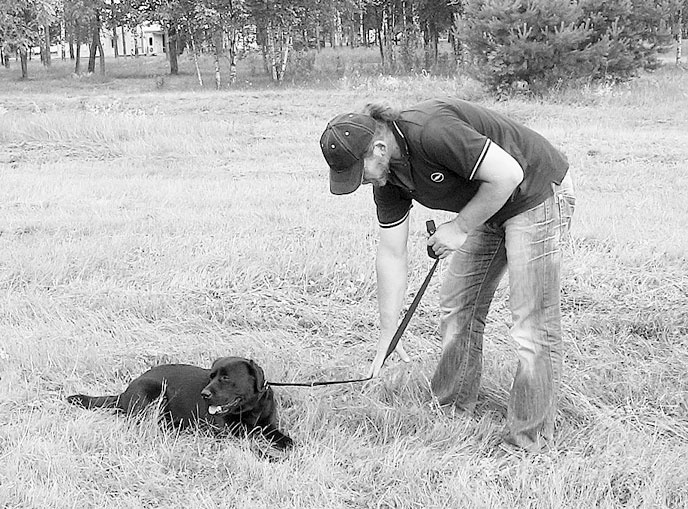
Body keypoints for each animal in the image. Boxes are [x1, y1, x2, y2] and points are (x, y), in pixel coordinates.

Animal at [65, 358, 290, 448]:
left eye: (226, 378)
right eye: (211, 376)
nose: (204, 393)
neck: (250, 408)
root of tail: (124, 393)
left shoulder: (267, 426)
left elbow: (282, 438)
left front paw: (289, 445)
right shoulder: (227, 435)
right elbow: (254, 447)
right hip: (153, 395)